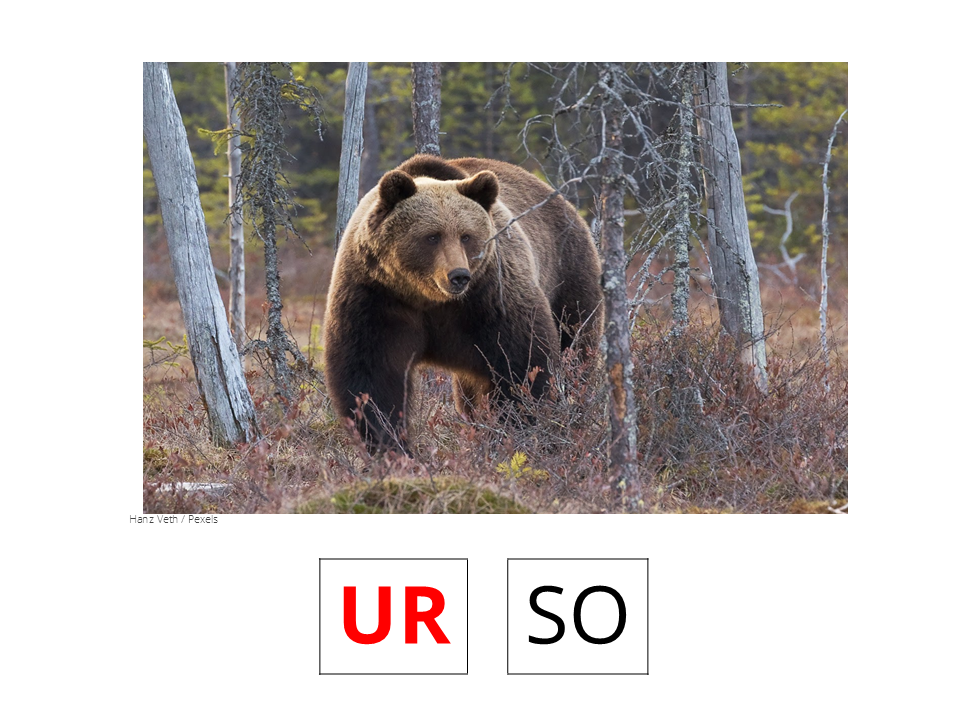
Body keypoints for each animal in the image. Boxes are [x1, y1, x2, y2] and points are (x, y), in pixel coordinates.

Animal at [323, 154, 603, 453]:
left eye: (466, 235)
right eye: (432, 236)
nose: (458, 275)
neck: (428, 298)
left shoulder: (490, 297)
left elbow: (522, 364)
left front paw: (513, 431)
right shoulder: (376, 297)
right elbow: (371, 376)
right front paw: (390, 445)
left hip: (568, 275)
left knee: (575, 349)